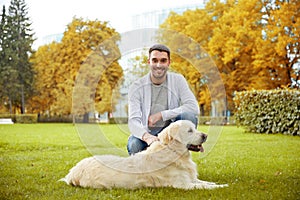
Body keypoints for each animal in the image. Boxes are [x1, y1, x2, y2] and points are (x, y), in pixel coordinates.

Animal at [61, 120, 230, 189]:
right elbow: (204, 187)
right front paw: (222, 186)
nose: (205, 135)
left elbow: (204, 182)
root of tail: (73, 172)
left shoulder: (190, 179)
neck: (173, 151)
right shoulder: (182, 185)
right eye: (190, 131)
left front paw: (217, 183)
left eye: (194, 129)